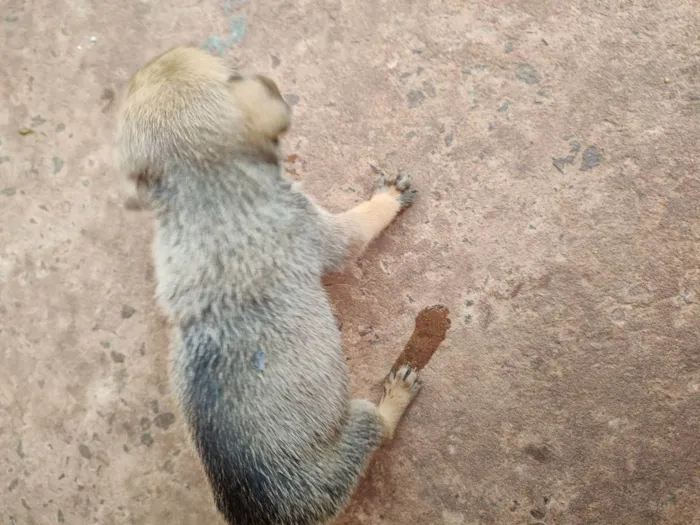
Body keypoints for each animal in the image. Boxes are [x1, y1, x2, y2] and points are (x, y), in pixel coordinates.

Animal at [117, 47, 422, 520]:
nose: (164, 53)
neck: (202, 183)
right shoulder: (321, 229)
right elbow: (360, 225)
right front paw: (386, 198)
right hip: (356, 430)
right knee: (380, 429)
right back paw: (396, 395)